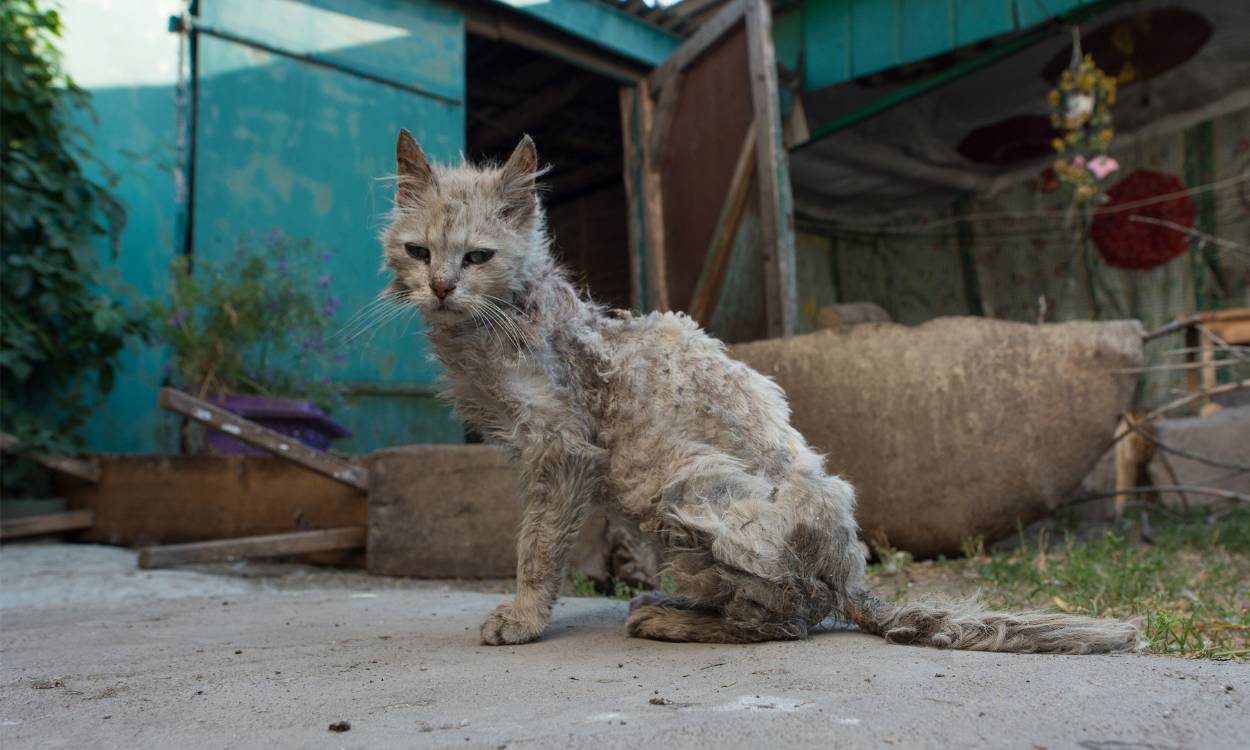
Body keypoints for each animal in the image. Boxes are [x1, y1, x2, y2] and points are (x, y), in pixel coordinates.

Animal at [382, 131, 1145, 655]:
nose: (441, 287)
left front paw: (521, 617)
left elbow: (537, 546)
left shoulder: (563, 450)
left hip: (680, 485)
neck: (499, 324)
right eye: (419, 253)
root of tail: (851, 578)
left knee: (785, 618)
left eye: (478, 256)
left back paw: (669, 618)